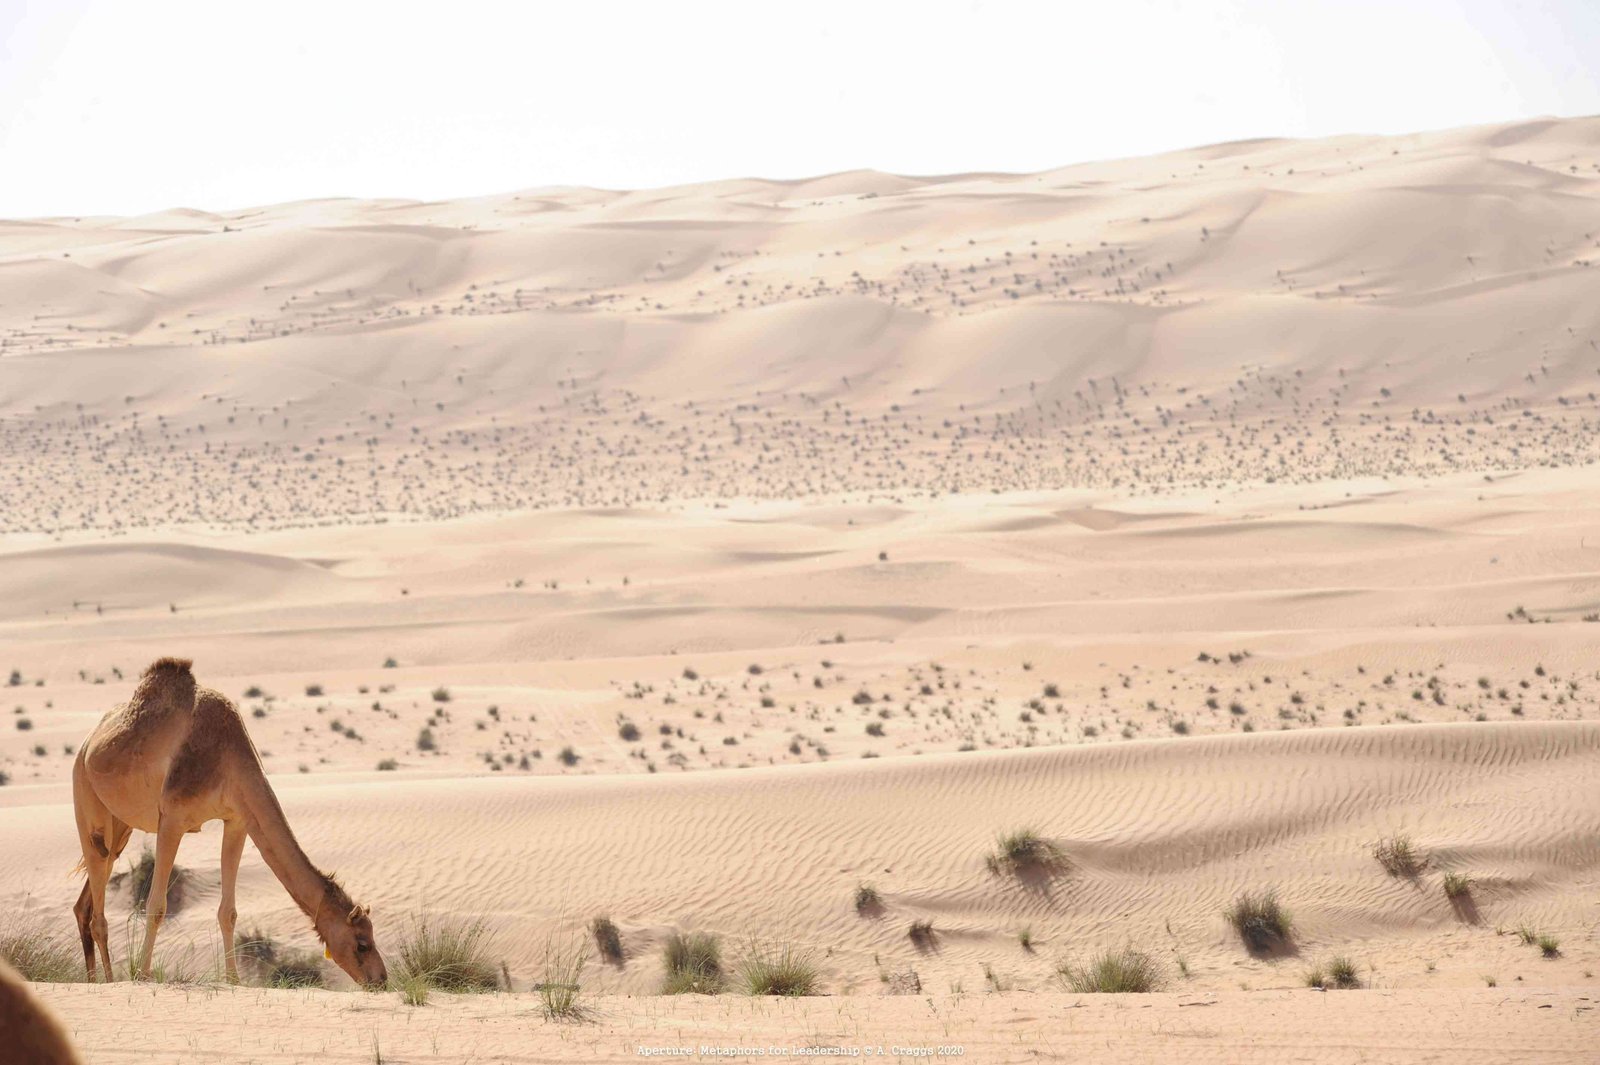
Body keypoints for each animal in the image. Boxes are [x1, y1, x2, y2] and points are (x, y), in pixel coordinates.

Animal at [71, 657, 387, 987]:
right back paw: (107, 981)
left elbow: (228, 911)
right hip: (85, 794)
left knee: (88, 898)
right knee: (98, 902)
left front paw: (233, 981)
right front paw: (144, 977)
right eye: (362, 943)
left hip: (121, 826)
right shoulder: (172, 819)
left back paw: (94, 978)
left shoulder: (237, 820)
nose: (381, 978)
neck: (228, 759)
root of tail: (88, 742)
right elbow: (157, 906)